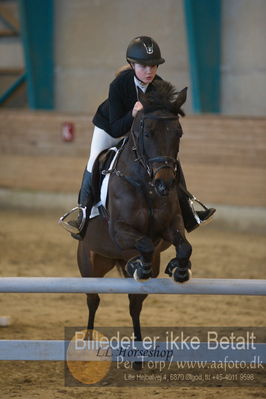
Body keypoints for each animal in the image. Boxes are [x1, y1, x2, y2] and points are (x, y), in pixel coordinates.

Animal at [77, 81, 191, 346]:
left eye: (178, 133)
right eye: (147, 133)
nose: (164, 184)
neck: (145, 184)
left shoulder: (171, 226)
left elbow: (183, 246)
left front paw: (179, 269)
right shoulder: (119, 231)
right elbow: (145, 243)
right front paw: (141, 266)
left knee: (134, 305)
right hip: (90, 265)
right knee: (93, 300)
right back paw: (87, 341)